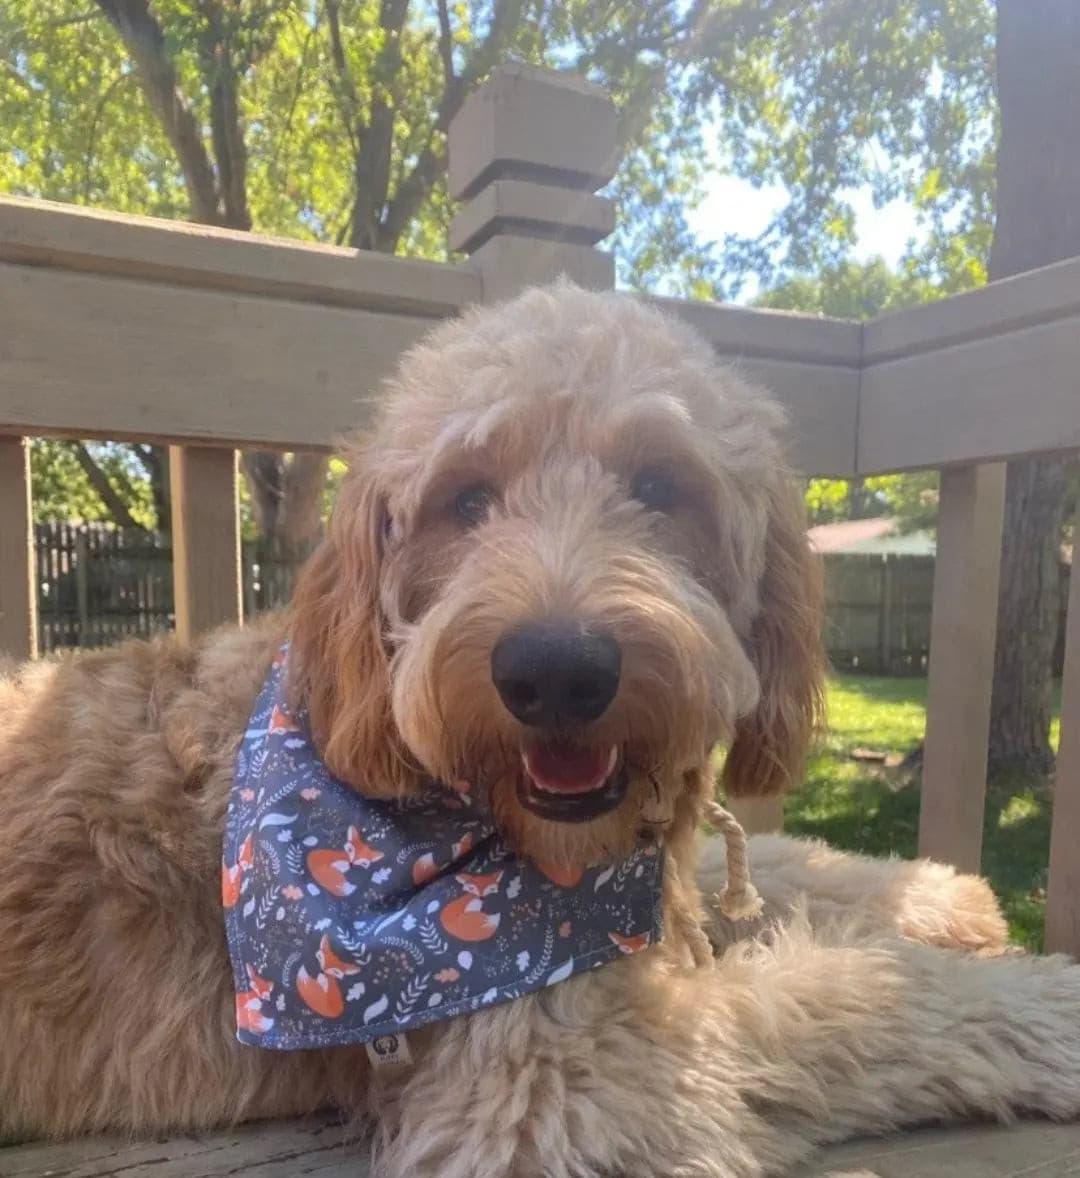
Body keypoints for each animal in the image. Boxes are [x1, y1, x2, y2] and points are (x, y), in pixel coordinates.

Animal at [2, 285, 1078, 1178]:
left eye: (659, 485)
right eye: (466, 499)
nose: (556, 671)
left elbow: (771, 862)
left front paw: (937, 895)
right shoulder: (550, 1081)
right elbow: (848, 997)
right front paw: (1043, 1004)